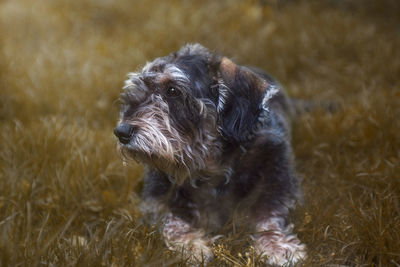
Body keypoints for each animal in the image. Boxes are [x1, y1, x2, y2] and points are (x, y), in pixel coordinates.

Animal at [114, 43, 308, 266]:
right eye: (138, 90)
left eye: (172, 90)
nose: (121, 132)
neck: (211, 164)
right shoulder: (155, 199)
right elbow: (171, 219)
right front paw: (190, 246)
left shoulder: (278, 180)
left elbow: (270, 214)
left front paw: (278, 247)